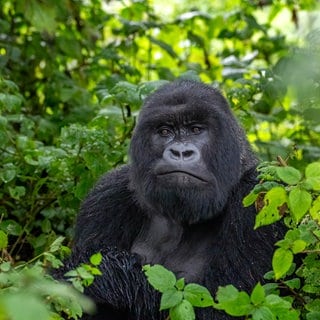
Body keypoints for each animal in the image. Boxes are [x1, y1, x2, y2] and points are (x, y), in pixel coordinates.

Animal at [62, 80, 282, 320]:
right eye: (165, 131)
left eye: (196, 129)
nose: (180, 152)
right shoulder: (105, 197)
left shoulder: (260, 193)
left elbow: (227, 307)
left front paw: (106, 274)